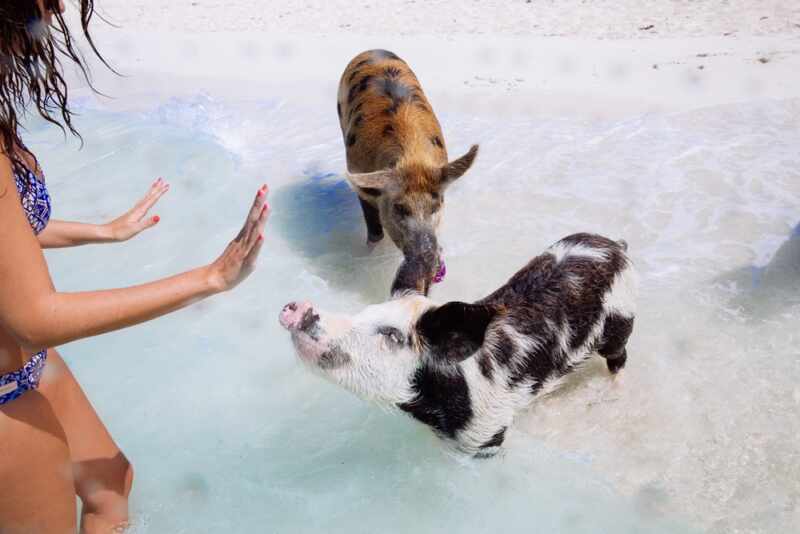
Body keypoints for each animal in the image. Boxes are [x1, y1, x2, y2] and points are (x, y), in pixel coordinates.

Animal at [280, 233, 636, 456]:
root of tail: (615, 247)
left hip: (620, 321)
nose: (300, 309)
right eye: (364, 312)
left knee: (619, 360)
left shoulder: (487, 432)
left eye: (392, 335)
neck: (430, 413)